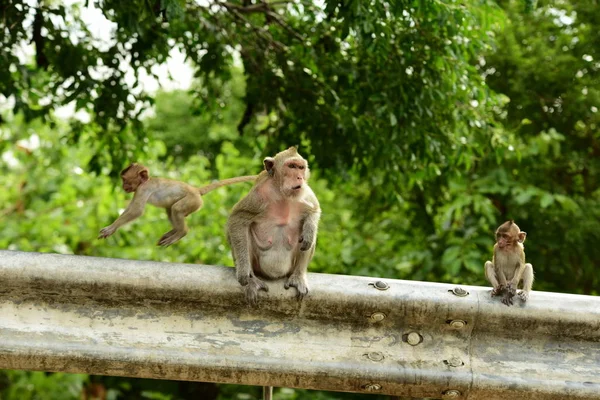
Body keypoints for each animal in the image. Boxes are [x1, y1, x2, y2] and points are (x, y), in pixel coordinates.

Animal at [99, 163, 258, 245]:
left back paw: (181, 232)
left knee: (176, 209)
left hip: (193, 201)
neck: (146, 181)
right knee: (170, 210)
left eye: (125, 179)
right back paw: (174, 231)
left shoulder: (143, 189)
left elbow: (136, 210)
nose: (123, 186)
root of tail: (196, 190)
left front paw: (111, 228)